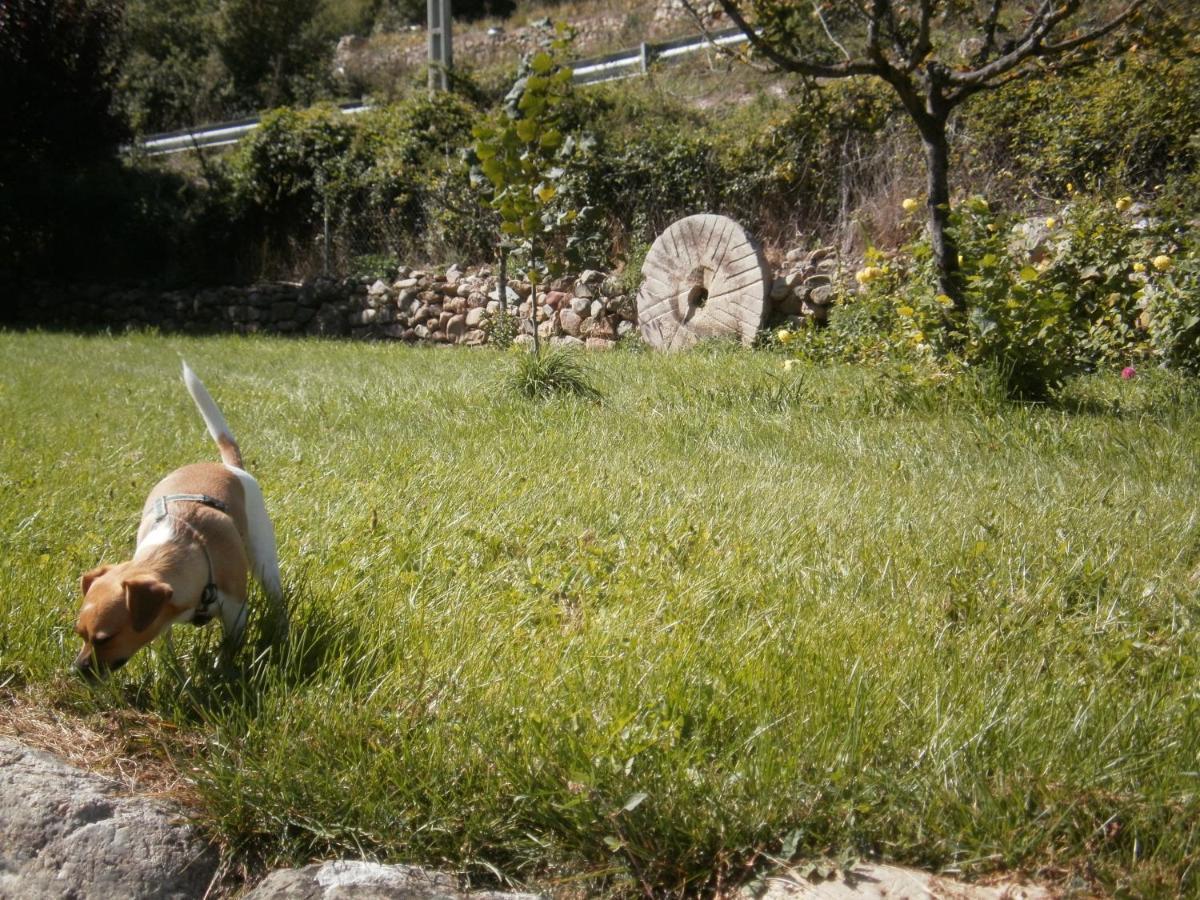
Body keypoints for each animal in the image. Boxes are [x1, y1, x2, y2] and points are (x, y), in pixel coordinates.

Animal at [73, 362, 283, 681]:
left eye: (104, 639)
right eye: (80, 634)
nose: (76, 670)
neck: (184, 544)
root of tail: (228, 467)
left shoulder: (235, 610)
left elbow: (230, 644)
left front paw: (222, 670)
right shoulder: (162, 619)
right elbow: (164, 645)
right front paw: (170, 673)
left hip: (263, 558)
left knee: (275, 593)